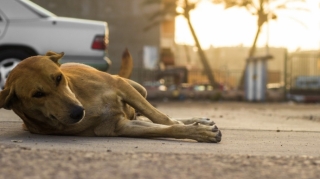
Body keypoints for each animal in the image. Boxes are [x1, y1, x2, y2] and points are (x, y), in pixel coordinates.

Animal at [0, 50, 221, 143]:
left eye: (58, 78)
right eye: (37, 94)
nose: (78, 112)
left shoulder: (120, 86)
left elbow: (162, 118)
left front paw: (196, 127)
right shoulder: (120, 127)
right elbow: (166, 127)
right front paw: (199, 132)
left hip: (138, 88)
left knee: (152, 112)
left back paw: (197, 119)